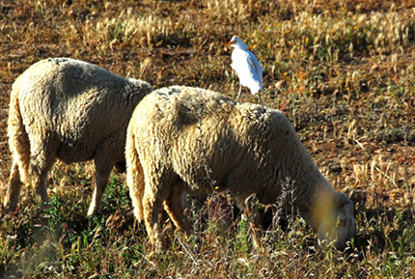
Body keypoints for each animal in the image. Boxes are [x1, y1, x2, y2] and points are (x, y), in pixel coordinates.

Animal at [4, 58, 154, 217]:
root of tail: (19, 83)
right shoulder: (109, 147)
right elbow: (102, 182)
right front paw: (92, 212)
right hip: (43, 134)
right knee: (36, 173)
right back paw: (48, 210)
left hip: (22, 129)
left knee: (17, 168)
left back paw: (9, 207)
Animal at [125, 85, 356, 252]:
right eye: (342, 221)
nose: (341, 251)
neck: (289, 162)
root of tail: (138, 111)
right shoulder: (243, 185)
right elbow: (254, 222)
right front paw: (261, 250)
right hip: (157, 165)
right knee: (150, 205)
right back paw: (159, 247)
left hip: (177, 172)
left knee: (171, 203)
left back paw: (190, 235)